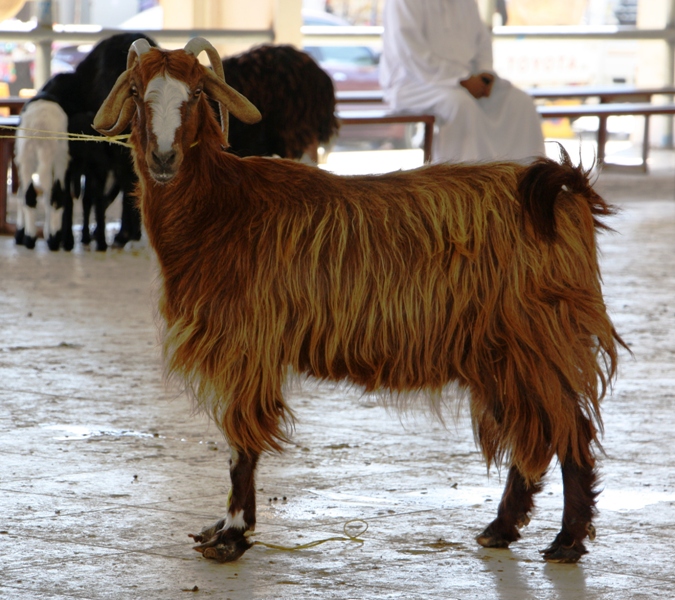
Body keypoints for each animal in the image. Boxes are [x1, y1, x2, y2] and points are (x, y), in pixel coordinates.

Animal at [93, 36, 624, 564]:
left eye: (199, 92)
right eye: (136, 91)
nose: (164, 158)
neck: (221, 206)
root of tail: (562, 191)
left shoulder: (247, 345)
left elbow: (240, 445)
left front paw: (233, 533)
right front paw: (224, 528)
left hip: (537, 339)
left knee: (570, 429)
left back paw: (567, 540)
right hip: (500, 353)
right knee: (536, 434)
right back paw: (502, 527)